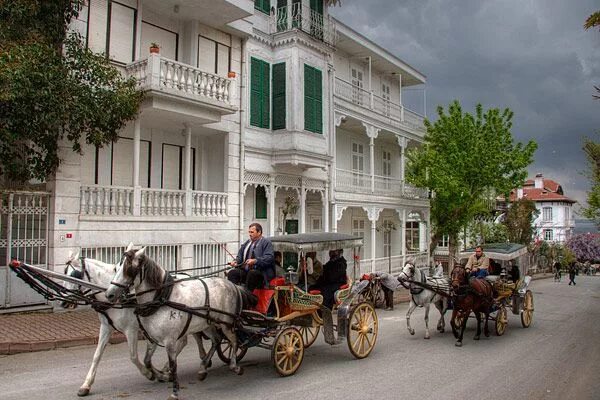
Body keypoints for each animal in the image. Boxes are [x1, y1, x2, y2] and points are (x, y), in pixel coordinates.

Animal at [62, 248, 211, 396]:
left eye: (75, 274)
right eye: (64, 272)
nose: (63, 302)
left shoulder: (131, 330)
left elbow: (134, 356)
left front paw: (151, 374)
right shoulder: (106, 327)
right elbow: (97, 355)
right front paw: (86, 385)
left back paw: (201, 363)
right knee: (188, 339)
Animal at [105, 247, 244, 400]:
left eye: (129, 269)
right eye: (116, 267)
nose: (109, 294)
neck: (161, 299)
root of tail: (232, 285)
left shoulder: (170, 340)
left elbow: (173, 365)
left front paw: (174, 391)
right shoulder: (152, 338)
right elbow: (147, 361)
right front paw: (162, 376)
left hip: (226, 323)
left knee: (233, 340)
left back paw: (234, 366)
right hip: (207, 324)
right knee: (217, 340)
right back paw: (202, 369)